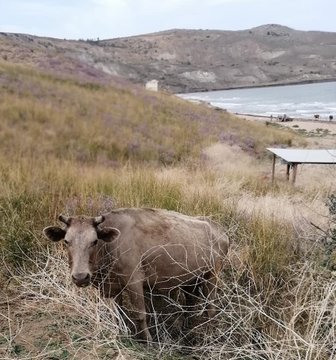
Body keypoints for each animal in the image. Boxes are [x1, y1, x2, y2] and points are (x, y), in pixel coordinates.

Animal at [43, 207, 230, 342]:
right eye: (66, 241)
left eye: (94, 241)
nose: (80, 277)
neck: (111, 247)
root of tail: (221, 230)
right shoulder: (110, 286)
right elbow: (116, 312)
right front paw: (120, 333)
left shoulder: (134, 281)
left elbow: (140, 314)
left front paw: (148, 341)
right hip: (191, 278)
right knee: (190, 304)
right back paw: (185, 331)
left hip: (213, 274)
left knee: (211, 307)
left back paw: (210, 336)